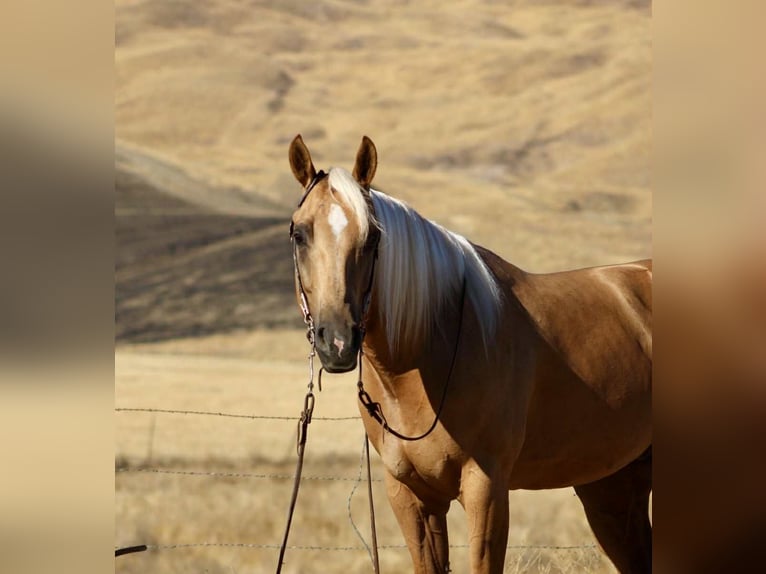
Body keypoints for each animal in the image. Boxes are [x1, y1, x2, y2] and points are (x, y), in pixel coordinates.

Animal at [286, 134, 652, 574]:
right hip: (613, 485)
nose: (338, 342)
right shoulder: (411, 496)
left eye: (373, 238)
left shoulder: (486, 488)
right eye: (300, 234)